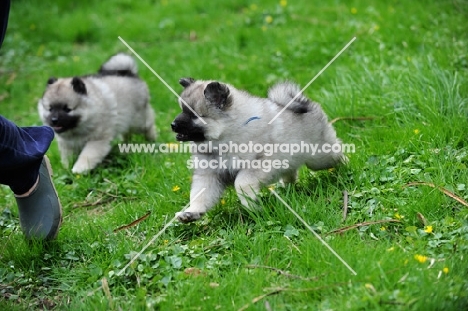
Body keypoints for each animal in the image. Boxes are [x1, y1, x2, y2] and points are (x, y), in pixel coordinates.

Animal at [172, 78, 348, 224]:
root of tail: (303, 103)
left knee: (336, 153)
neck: (224, 135)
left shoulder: (259, 164)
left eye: (194, 115)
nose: (173, 125)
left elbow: (241, 183)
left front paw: (252, 205)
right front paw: (191, 213)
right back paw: (285, 187)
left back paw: (345, 165)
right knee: (290, 173)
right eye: (182, 110)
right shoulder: (209, 175)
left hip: (319, 158)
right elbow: (199, 196)